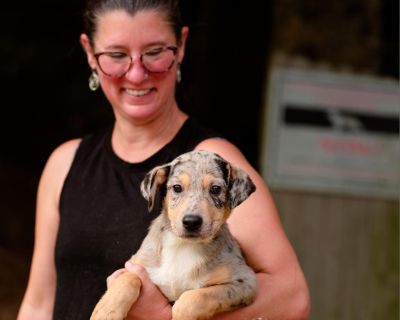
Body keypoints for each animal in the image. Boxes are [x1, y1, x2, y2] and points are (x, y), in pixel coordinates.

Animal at [91, 151, 256, 320]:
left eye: (215, 189)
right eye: (177, 188)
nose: (191, 222)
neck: (182, 246)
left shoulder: (245, 281)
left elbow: (195, 298)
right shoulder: (136, 264)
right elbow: (128, 278)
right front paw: (106, 311)